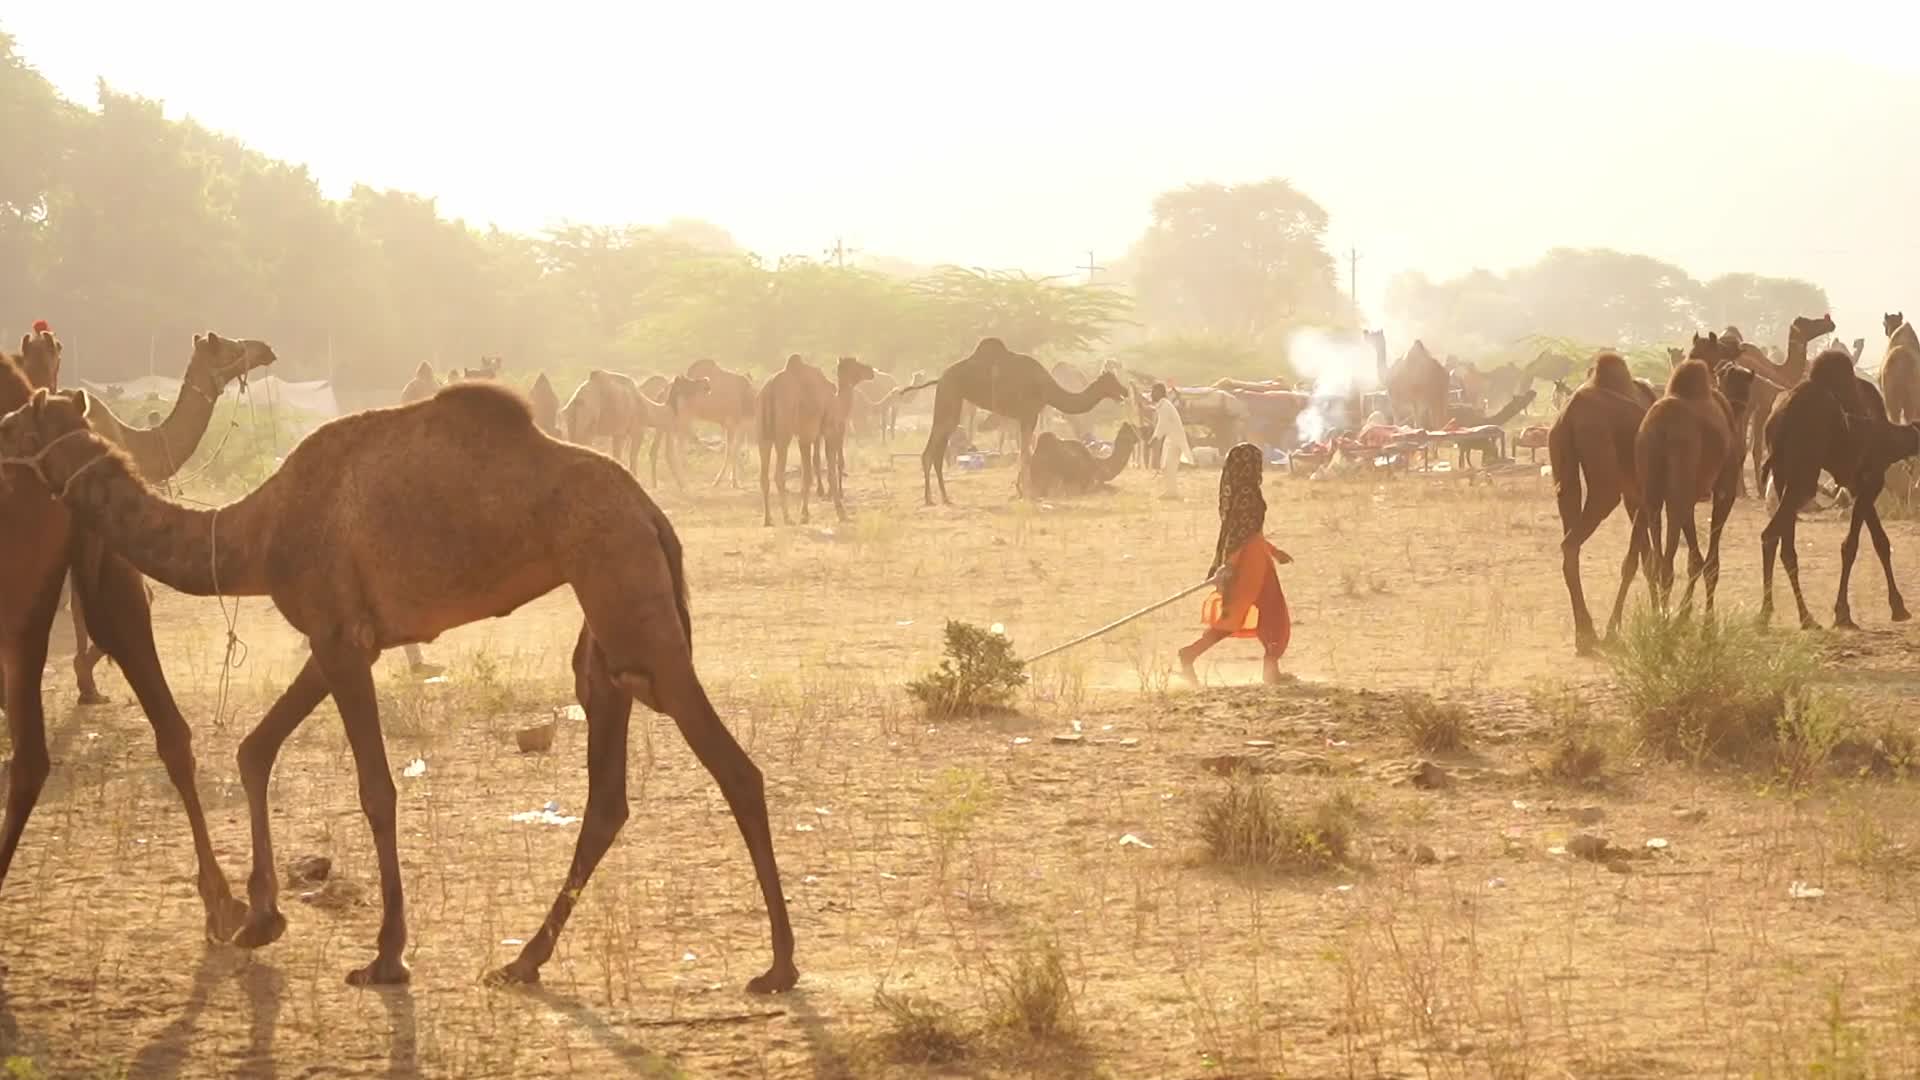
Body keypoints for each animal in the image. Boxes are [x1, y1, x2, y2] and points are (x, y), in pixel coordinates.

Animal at [684, 358, 757, 487]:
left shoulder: (736, 424)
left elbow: (733, 449)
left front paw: (733, 479)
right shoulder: (732, 423)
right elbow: (731, 450)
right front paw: (723, 480)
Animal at [902, 338, 1125, 506]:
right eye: (1112, 382)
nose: (1125, 391)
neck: (1046, 386)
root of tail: (939, 379)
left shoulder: (1023, 417)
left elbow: (1024, 452)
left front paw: (1023, 492)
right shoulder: (1029, 415)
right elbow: (1025, 454)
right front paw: (1029, 494)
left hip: (951, 404)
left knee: (938, 452)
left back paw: (945, 498)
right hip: (948, 399)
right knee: (931, 451)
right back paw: (929, 499)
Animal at [1548, 351, 1660, 654]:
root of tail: (1570, 413)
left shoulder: (1635, 496)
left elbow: (1646, 559)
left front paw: (1658, 615)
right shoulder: (1642, 492)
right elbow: (1633, 563)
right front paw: (1615, 628)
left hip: (1563, 466)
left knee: (1569, 540)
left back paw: (1583, 633)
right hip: (1605, 482)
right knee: (1571, 542)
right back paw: (1589, 634)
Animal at [1605, 358, 1755, 629]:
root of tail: (1661, 427)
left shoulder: (1690, 496)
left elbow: (1695, 558)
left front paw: (1685, 613)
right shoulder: (1724, 489)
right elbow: (1710, 562)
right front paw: (1707, 622)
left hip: (1650, 481)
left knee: (1650, 548)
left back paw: (1640, 621)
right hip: (1678, 474)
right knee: (1665, 558)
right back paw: (1663, 621)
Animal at [1760, 348, 1920, 630]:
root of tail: (1779, 418)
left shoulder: (1857, 484)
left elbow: (1880, 541)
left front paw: (1898, 607)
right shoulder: (1871, 480)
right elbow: (1852, 545)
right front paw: (1843, 613)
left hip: (1782, 476)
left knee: (1786, 546)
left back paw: (1804, 617)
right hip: (1803, 478)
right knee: (1771, 535)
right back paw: (1770, 615)